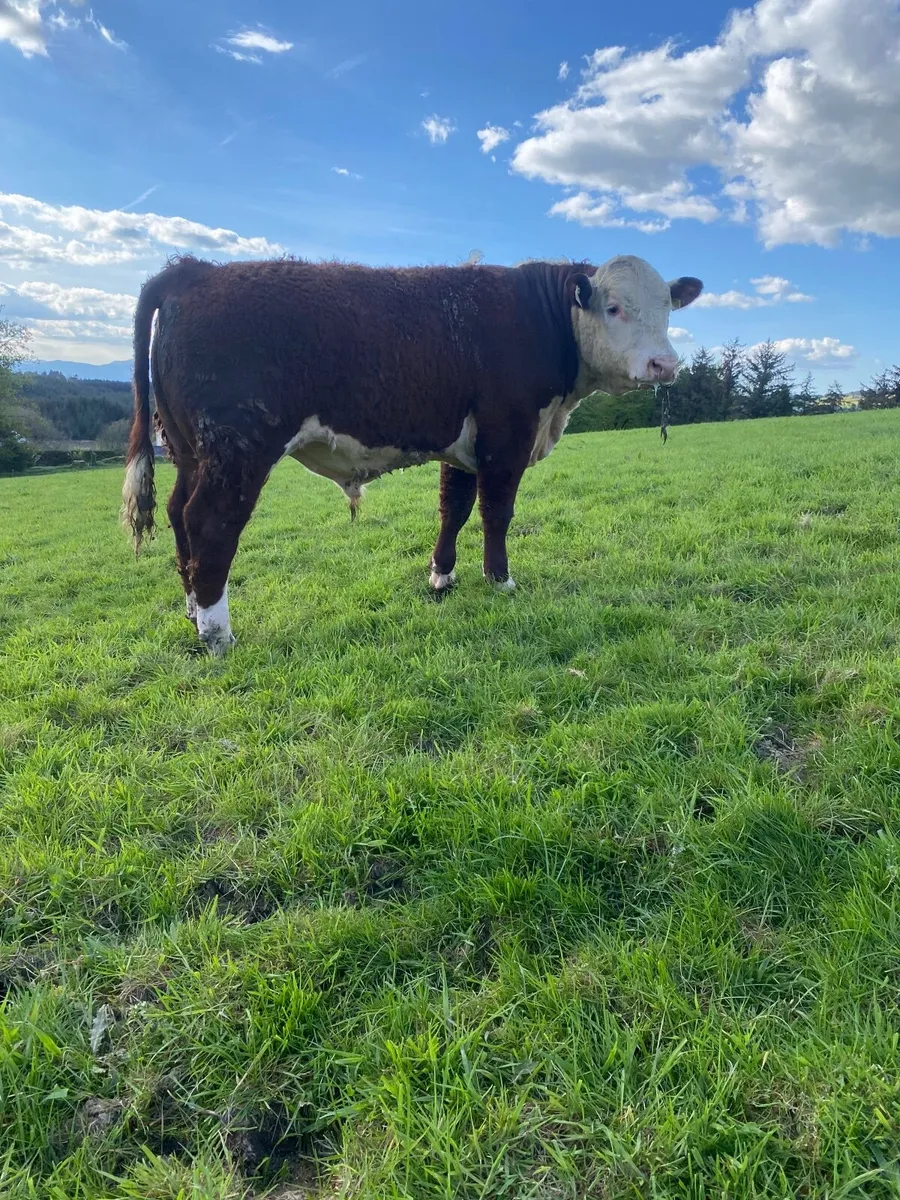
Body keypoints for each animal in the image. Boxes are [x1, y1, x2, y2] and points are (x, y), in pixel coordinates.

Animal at [122, 254, 702, 654]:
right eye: (614, 307)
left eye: (668, 310)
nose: (664, 364)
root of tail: (196, 270)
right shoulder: (506, 435)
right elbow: (497, 512)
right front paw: (501, 581)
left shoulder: (463, 444)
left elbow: (454, 509)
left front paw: (441, 577)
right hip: (238, 447)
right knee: (210, 522)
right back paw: (217, 633)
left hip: (190, 452)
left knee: (176, 513)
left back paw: (192, 610)